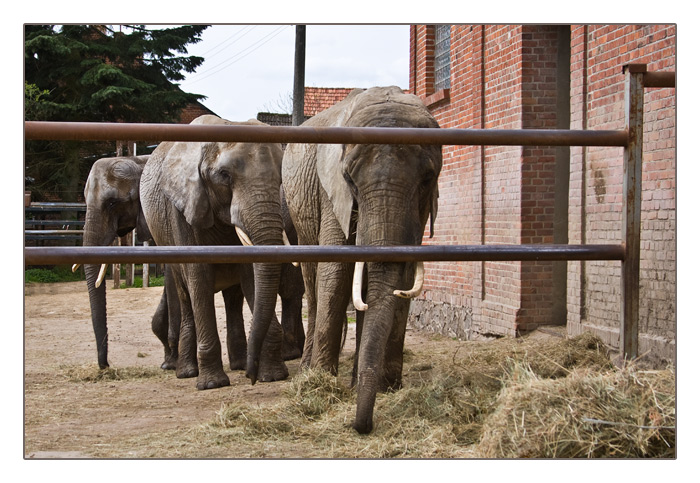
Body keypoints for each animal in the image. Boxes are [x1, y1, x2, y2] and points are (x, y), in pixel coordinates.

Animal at [141, 115, 288, 392]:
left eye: (280, 179)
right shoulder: (183, 207)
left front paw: (273, 376)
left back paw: (238, 363)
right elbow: (199, 275)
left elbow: (251, 276)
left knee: (233, 299)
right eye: (224, 175)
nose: (251, 377)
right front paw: (212, 384)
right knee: (186, 296)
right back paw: (187, 372)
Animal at [280, 88, 440, 434]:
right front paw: (323, 386)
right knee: (313, 282)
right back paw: (308, 372)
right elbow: (337, 272)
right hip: (300, 216)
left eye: (427, 180)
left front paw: (386, 388)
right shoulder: (332, 196)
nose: (361, 426)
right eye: (350, 181)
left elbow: (402, 278)